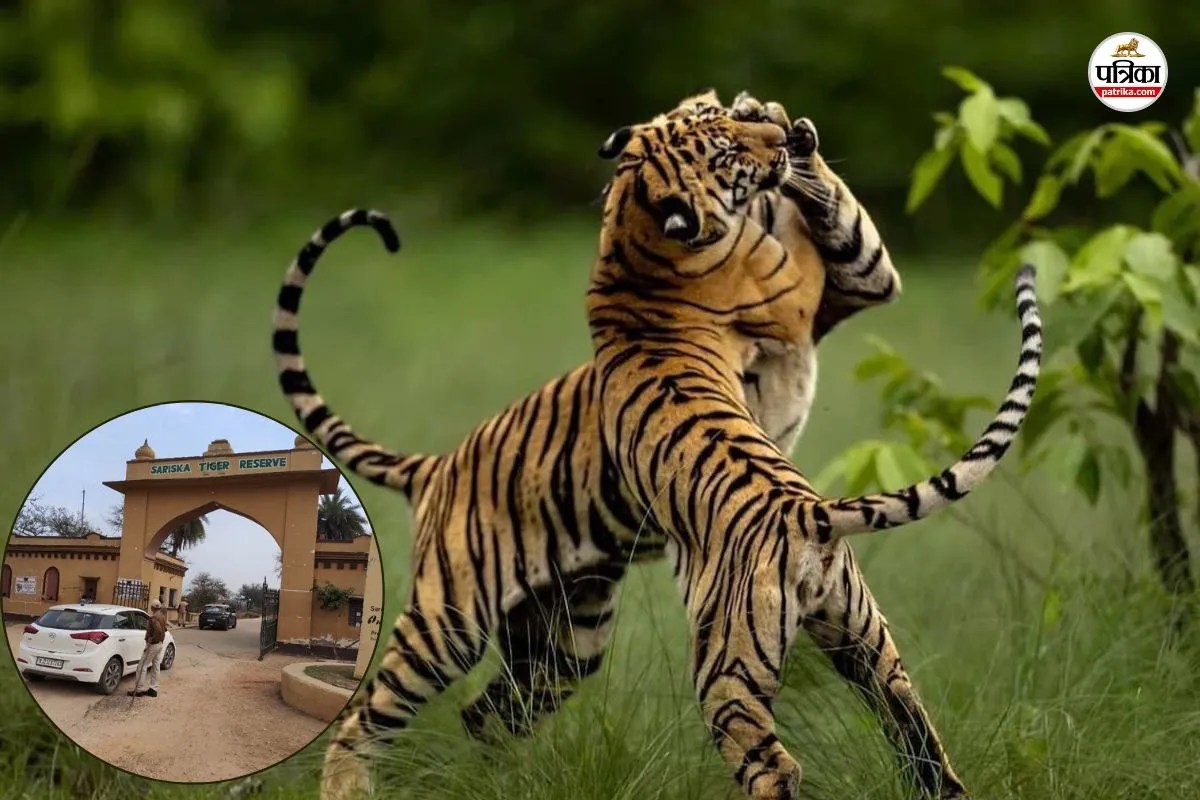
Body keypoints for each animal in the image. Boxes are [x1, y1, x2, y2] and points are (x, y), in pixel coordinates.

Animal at [271, 100, 1040, 799]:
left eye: (721, 127)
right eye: (726, 152)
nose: (776, 134)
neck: (629, 242)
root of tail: (437, 465)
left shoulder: (851, 282)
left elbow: (844, 227)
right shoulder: (802, 286)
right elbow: (821, 233)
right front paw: (792, 146)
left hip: (596, 641)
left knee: (489, 715)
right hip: (521, 633)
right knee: (375, 714)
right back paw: (351, 786)